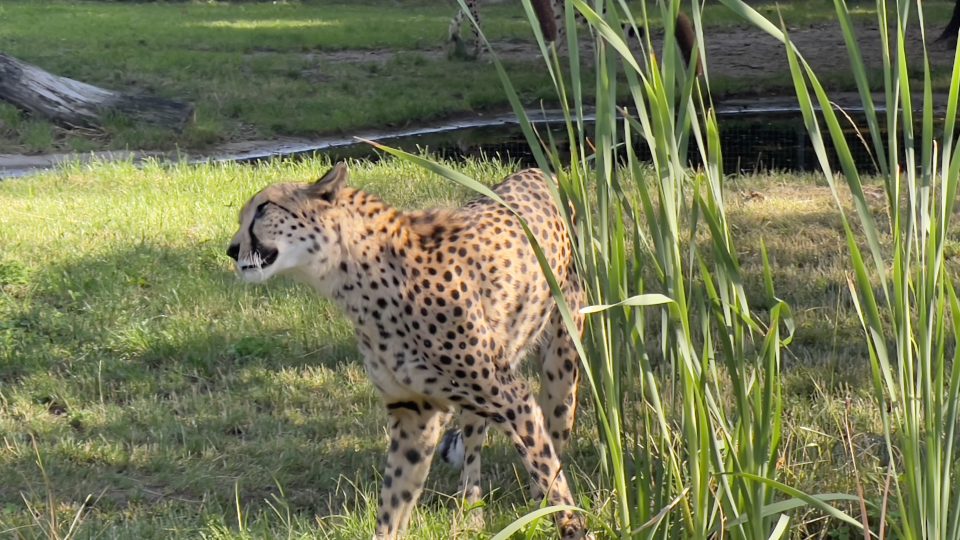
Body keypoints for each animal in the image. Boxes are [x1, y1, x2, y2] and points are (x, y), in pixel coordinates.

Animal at [231, 162, 592, 536]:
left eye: (263, 208)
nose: (231, 248)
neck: (355, 276)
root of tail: (536, 170)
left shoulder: (512, 398)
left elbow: (549, 473)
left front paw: (574, 526)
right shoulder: (413, 410)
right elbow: (394, 499)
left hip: (560, 371)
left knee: (551, 444)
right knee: (474, 441)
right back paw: (469, 514)